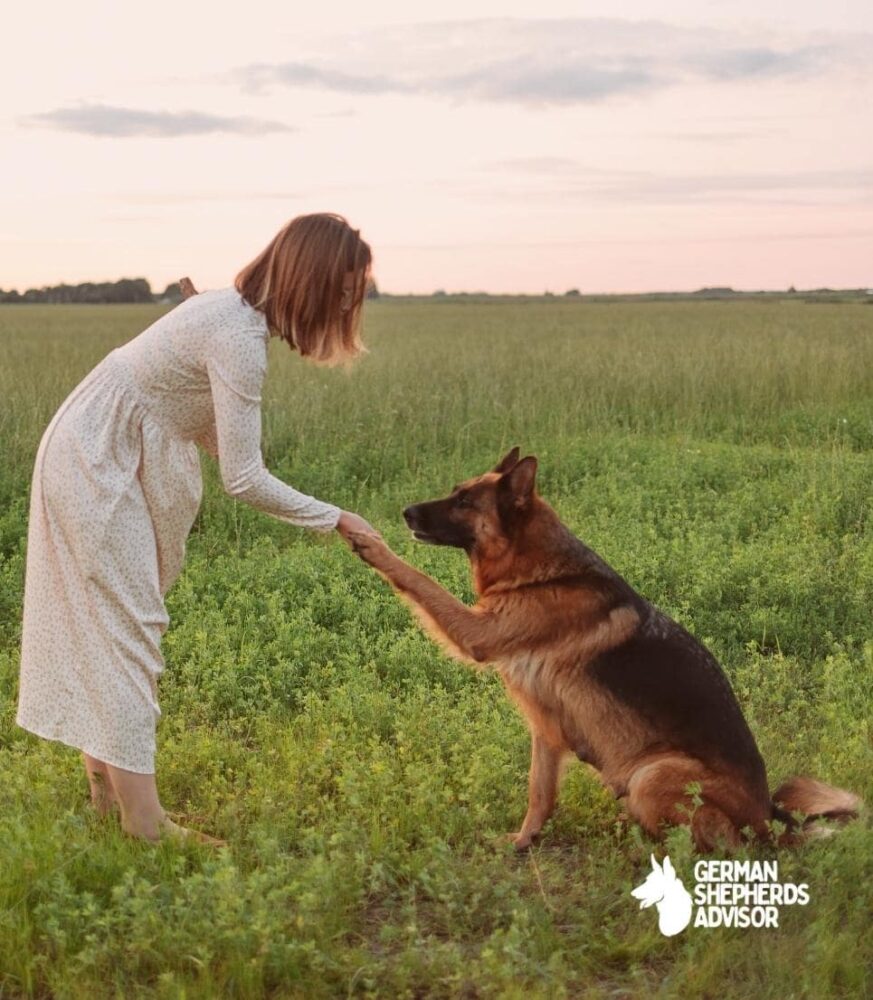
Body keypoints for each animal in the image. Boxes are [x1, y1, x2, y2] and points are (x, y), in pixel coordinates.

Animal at [350, 454, 860, 852]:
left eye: (463, 502)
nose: (405, 512)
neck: (541, 573)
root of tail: (771, 821)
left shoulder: (478, 631)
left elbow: (419, 580)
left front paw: (372, 545)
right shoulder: (546, 730)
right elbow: (539, 794)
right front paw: (523, 842)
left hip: (652, 774)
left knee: (715, 844)